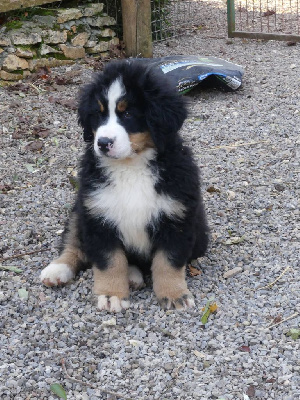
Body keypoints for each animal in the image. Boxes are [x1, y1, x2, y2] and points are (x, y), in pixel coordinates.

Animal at [40, 60, 209, 312]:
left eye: (128, 113)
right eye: (98, 115)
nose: (103, 143)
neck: (131, 166)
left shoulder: (176, 217)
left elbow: (168, 261)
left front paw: (174, 294)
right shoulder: (98, 214)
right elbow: (110, 260)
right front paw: (111, 294)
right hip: (80, 210)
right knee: (74, 242)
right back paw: (58, 269)